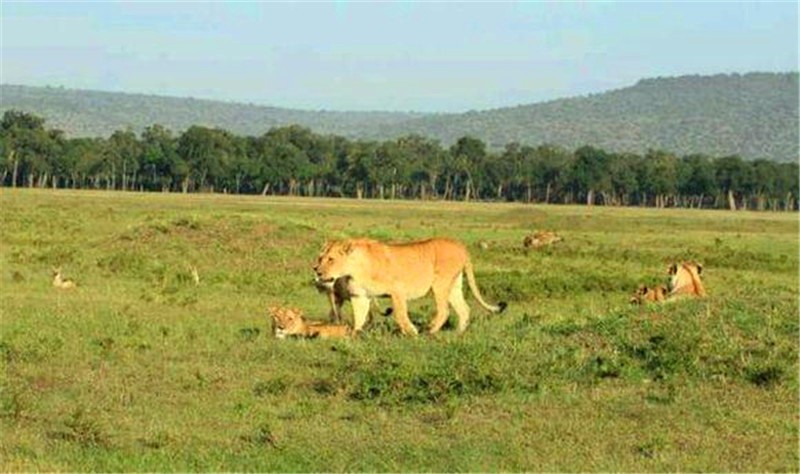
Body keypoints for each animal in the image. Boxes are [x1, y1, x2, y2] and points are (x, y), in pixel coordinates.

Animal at [312, 236, 506, 334]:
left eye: (331, 259)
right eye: (320, 258)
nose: (317, 271)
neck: (353, 269)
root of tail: (461, 246)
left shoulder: (398, 290)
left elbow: (400, 315)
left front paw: (411, 332)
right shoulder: (361, 296)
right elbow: (359, 317)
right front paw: (355, 334)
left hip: (440, 283)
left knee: (444, 310)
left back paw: (430, 330)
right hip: (454, 285)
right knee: (464, 309)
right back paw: (458, 333)